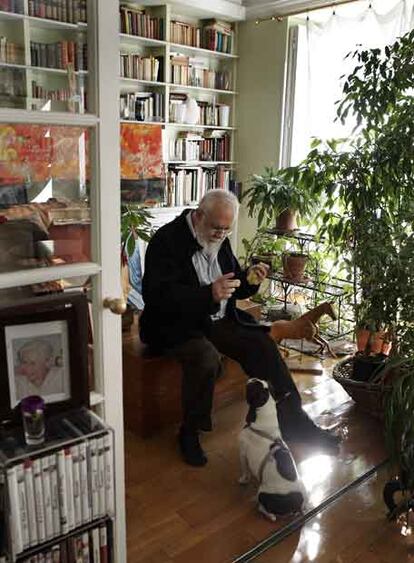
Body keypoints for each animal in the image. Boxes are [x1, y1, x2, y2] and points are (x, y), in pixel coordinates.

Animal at [238, 378, 306, 524]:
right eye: (261, 381)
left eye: (252, 387)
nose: (252, 378)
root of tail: (295, 505)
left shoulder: (242, 452)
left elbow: (245, 469)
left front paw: (243, 479)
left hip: (262, 492)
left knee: (269, 513)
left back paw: (262, 509)